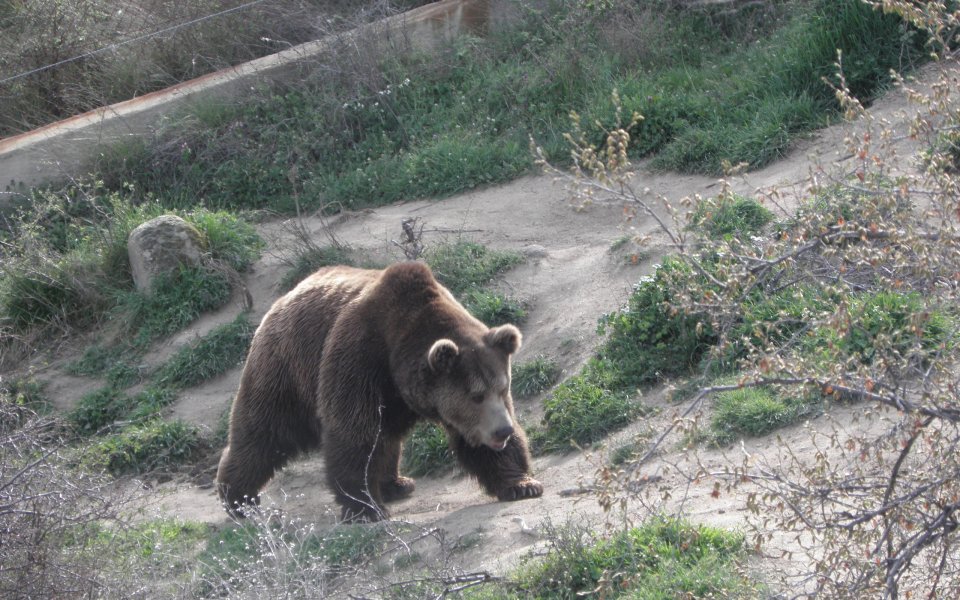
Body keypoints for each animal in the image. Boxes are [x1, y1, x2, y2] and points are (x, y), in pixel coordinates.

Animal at [219, 260, 548, 516]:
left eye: (502, 389)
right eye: (476, 395)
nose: (502, 431)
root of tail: (282, 298)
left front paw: (522, 484)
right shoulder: (359, 358)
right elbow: (354, 433)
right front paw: (366, 507)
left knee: (387, 436)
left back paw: (397, 483)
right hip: (286, 369)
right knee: (264, 432)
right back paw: (238, 498)